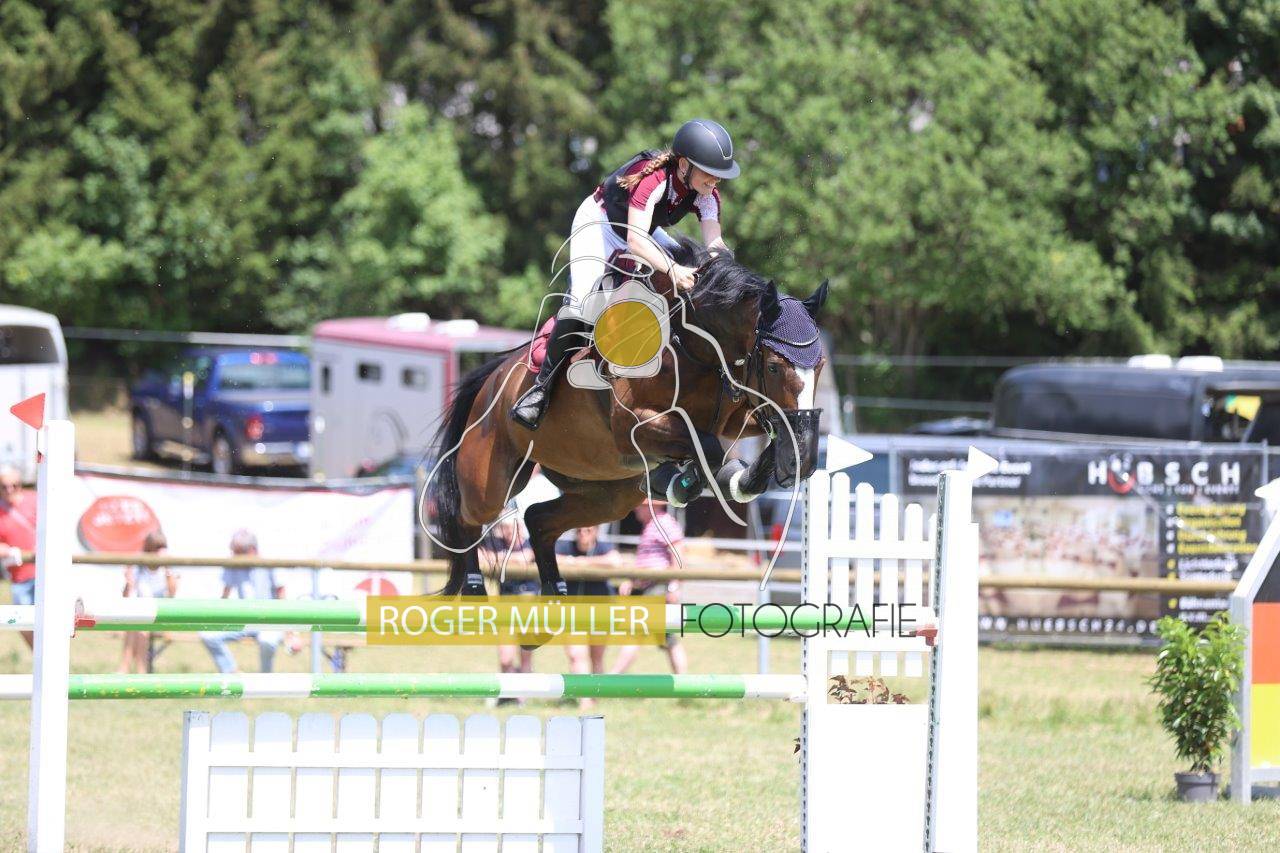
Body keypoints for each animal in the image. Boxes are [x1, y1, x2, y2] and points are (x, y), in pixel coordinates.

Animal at [427, 237, 828, 596]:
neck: (693, 347)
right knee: (466, 521)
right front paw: (681, 481)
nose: (806, 460)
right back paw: (475, 592)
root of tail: (491, 379)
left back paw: (554, 596)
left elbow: (737, 438)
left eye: (821, 364)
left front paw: (751, 472)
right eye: (775, 366)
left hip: (604, 492)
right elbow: (709, 448)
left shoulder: (731, 416)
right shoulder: (634, 425)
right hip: (492, 481)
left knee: (539, 521)